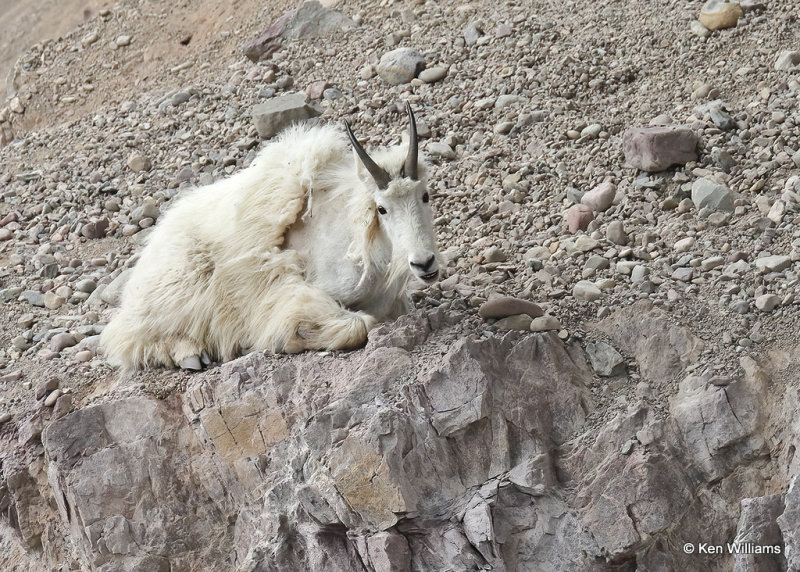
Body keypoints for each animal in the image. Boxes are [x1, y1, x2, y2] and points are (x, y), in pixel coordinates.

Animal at [101, 104, 444, 368]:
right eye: (382, 209)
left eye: (426, 195)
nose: (424, 263)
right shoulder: (283, 287)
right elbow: (356, 325)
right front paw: (288, 339)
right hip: (177, 288)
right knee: (129, 338)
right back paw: (189, 354)